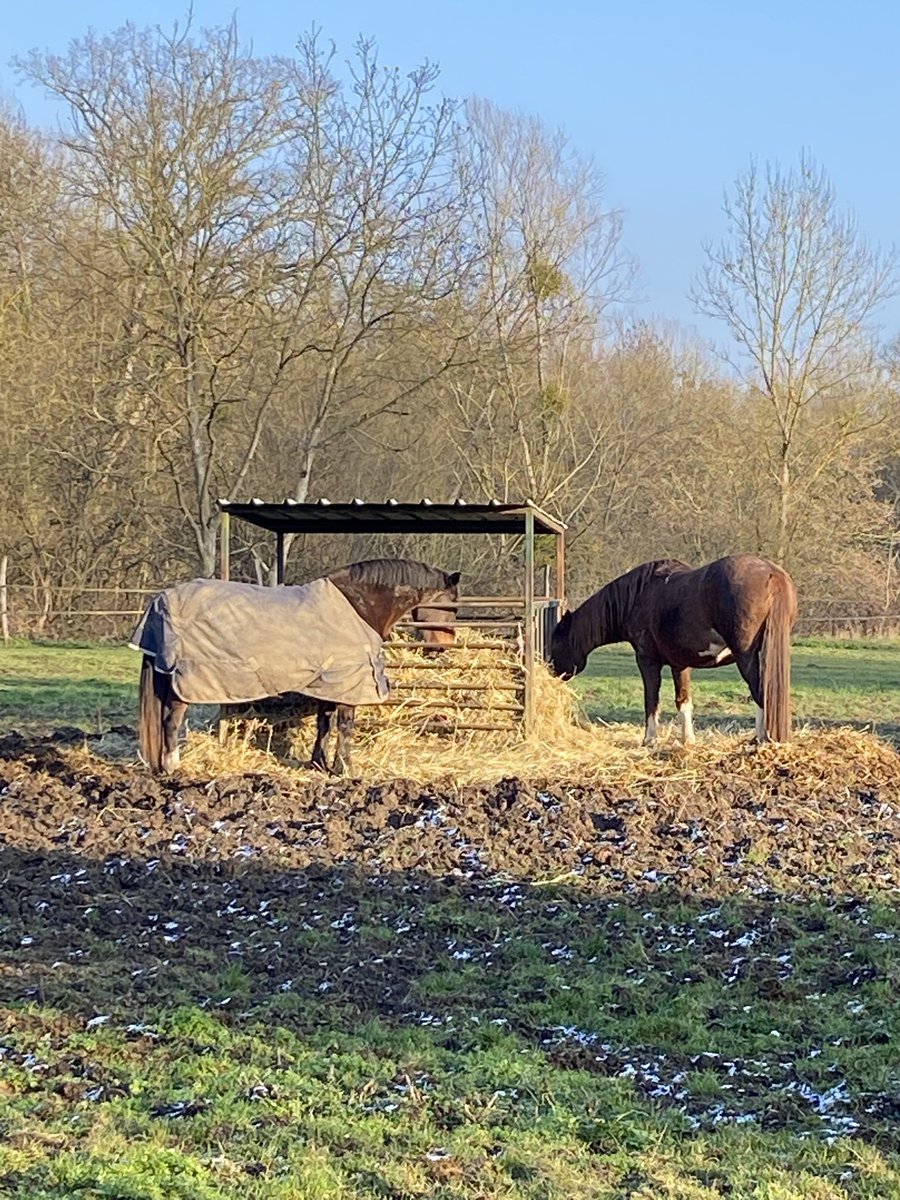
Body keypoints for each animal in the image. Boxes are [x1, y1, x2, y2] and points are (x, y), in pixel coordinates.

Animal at [134, 558, 461, 776]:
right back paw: (173, 767)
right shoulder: (348, 686)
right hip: (184, 685)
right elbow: (345, 727)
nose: (442, 648)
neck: (359, 605)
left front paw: (320, 763)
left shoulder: (328, 683)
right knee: (171, 722)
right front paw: (344, 768)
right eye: (451, 608)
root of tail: (161, 600)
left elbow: (324, 724)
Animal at [549, 554, 797, 745]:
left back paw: (761, 739)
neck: (638, 595)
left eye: (556, 642)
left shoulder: (647, 660)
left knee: (761, 693)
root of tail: (772, 574)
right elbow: (683, 701)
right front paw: (688, 740)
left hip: (746, 657)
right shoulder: (681, 664)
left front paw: (649, 741)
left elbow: (651, 700)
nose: (553, 672)